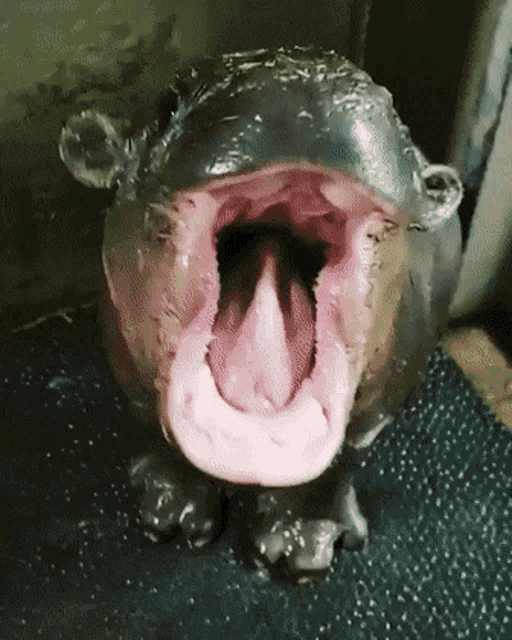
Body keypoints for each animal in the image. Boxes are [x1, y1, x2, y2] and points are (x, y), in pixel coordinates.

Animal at [59, 46, 463, 578]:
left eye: (393, 111)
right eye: (168, 104)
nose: (298, 86)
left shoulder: (383, 400)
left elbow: (346, 455)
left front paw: (302, 544)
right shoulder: (128, 373)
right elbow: (158, 431)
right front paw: (170, 511)